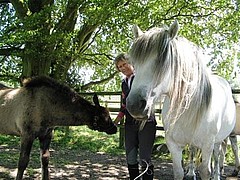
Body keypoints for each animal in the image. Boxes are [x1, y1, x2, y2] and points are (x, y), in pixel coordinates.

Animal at [126, 20, 235, 179]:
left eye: (162, 60)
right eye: (134, 63)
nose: (134, 105)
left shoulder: (208, 145)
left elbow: (205, 170)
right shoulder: (173, 145)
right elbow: (178, 171)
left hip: (219, 140)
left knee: (218, 156)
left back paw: (216, 175)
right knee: (193, 152)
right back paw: (191, 172)